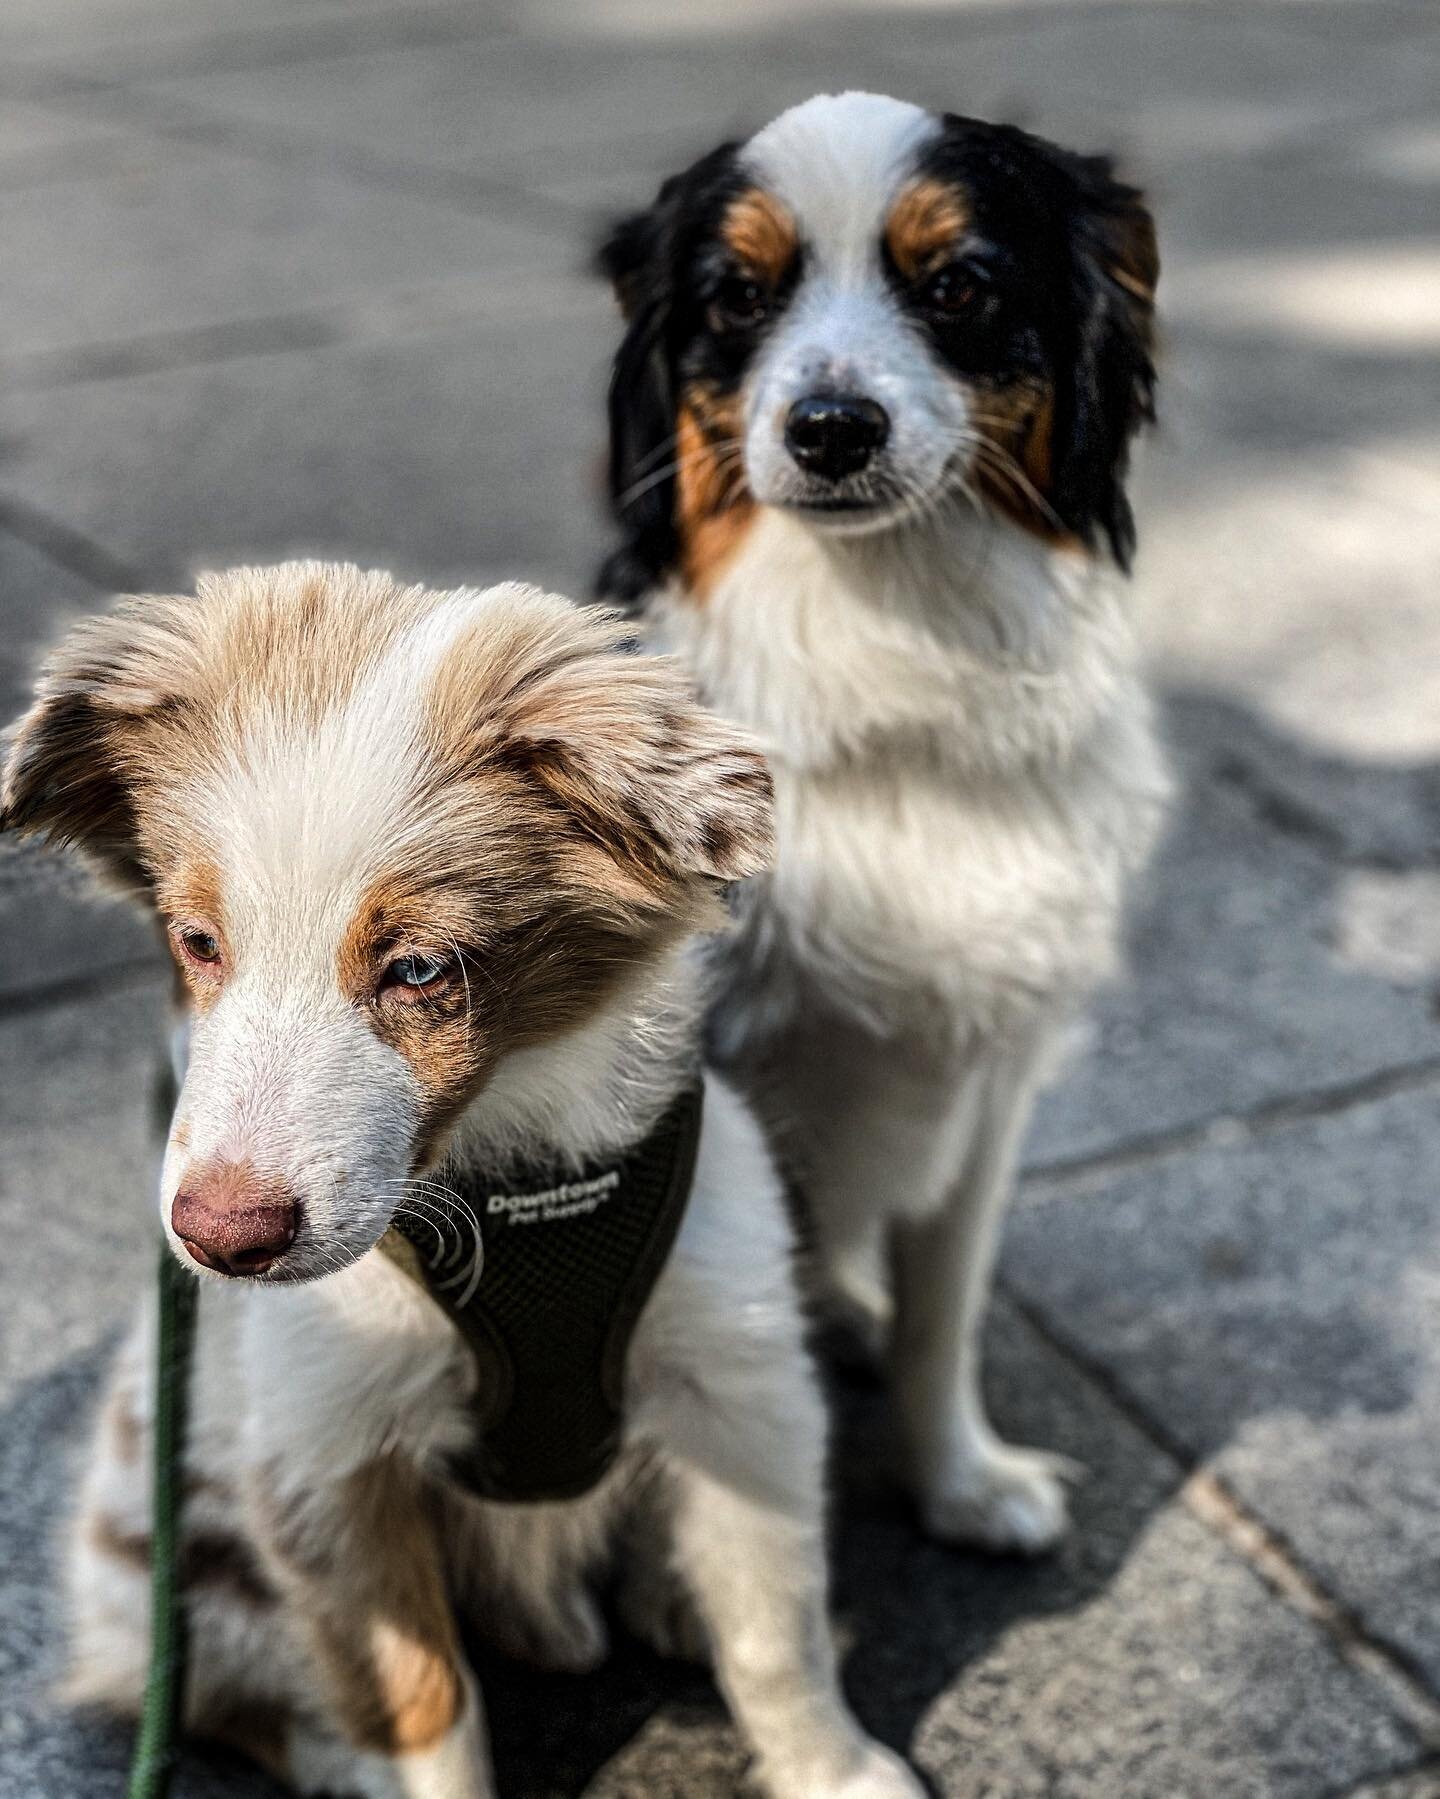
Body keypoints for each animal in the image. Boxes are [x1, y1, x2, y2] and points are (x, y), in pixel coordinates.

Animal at [0, 564, 921, 1799]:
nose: (220, 1237)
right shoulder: (326, 1459)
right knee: (224, 1690)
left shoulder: (741, 1378)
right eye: (199, 942)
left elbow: (779, 1628)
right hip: (166, 1563)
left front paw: (837, 1768)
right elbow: (424, 1698)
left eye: (420, 967)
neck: (509, 1185)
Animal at [597, 98, 1166, 1554]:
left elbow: (944, 1308)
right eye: (739, 296)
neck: (884, 642)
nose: (832, 427)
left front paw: (959, 1480)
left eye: (958, 285)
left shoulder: (991, 1068)